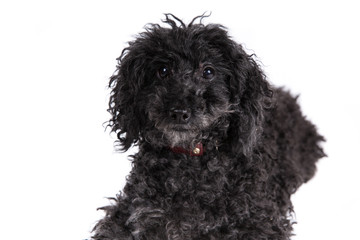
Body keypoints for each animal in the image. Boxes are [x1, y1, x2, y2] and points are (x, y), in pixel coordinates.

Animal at [91, 14, 324, 239]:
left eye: (208, 72)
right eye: (163, 70)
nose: (179, 112)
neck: (190, 157)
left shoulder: (260, 220)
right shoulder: (132, 211)